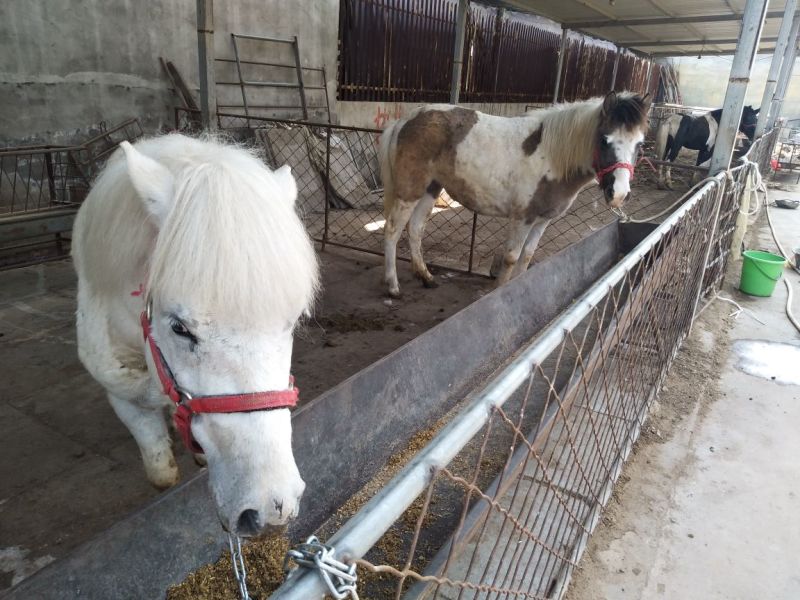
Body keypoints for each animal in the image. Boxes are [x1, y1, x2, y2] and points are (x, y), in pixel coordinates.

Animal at [379, 91, 651, 297]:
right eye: (604, 140)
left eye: (640, 144)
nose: (619, 193)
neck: (551, 156)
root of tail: (405, 120)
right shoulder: (522, 218)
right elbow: (511, 256)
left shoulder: (543, 220)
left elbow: (528, 255)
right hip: (409, 191)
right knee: (392, 230)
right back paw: (393, 286)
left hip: (430, 189)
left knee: (415, 229)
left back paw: (426, 277)